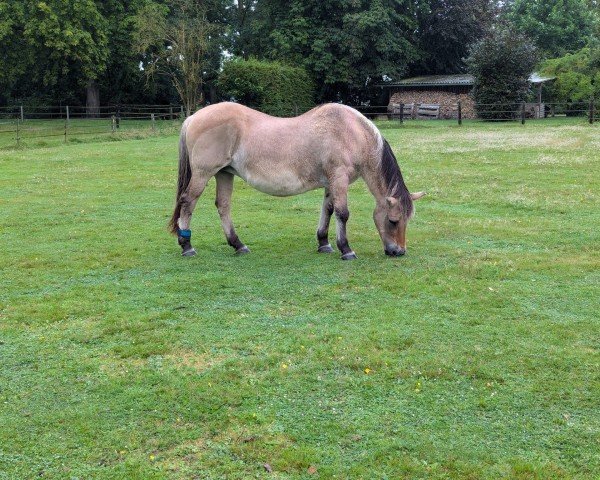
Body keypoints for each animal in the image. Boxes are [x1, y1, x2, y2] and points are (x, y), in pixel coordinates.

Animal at [166, 101, 424, 258]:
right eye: (393, 221)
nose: (398, 251)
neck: (351, 133)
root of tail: (194, 117)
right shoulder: (339, 179)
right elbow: (342, 213)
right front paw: (346, 249)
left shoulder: (331, 182)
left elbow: (328, 210)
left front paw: (324, 243)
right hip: (203, 174)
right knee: (188, 203)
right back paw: (187, 246)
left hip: (224, 173)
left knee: (223, 206)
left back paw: (238, 245)